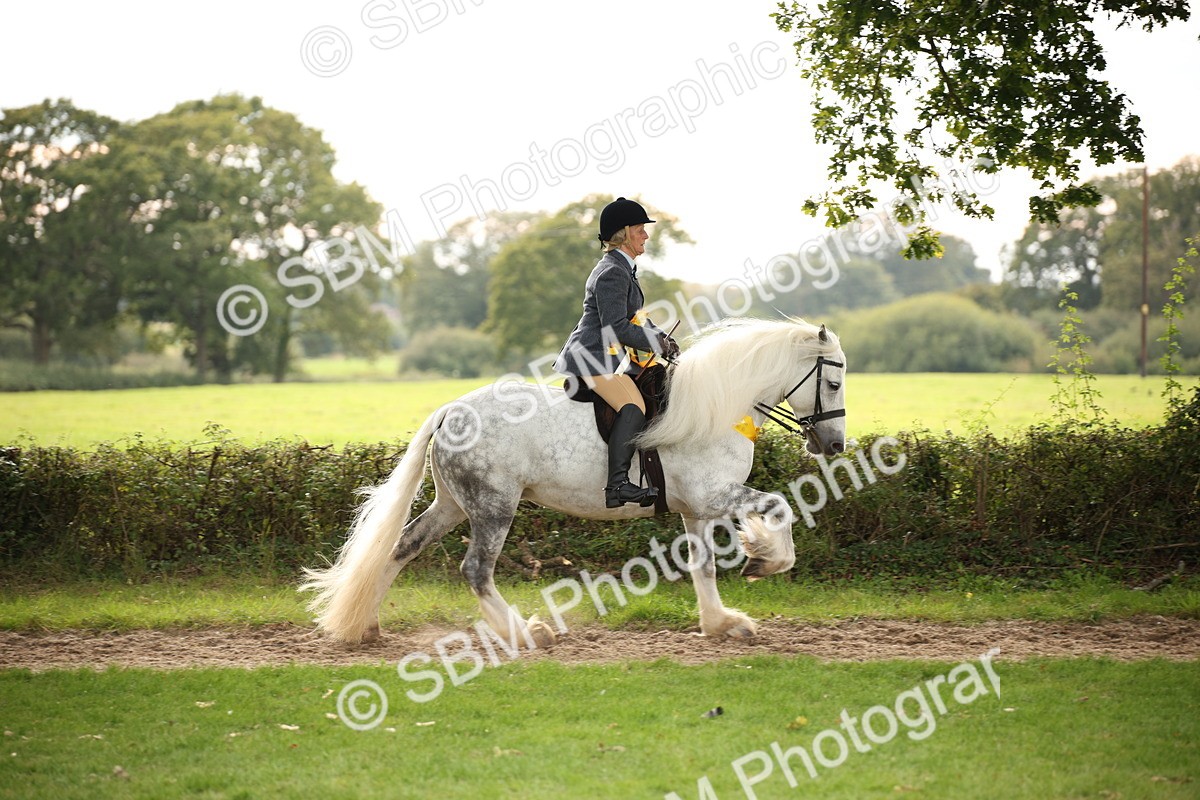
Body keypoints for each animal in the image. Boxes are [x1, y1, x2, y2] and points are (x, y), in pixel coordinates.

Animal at [300, 317, 847, 647]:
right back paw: (527, 632)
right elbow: (778, 506)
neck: (717, 406)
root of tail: (450, 410)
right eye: (835, 381)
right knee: (476, 570)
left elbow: (704, 566)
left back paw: (367, 625)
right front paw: (766, 561)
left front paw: (722, 622)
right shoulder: (715, 496)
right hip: (494, 508)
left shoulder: (697, 508)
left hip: (454, 505)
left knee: (402, 547)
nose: (835, 445)